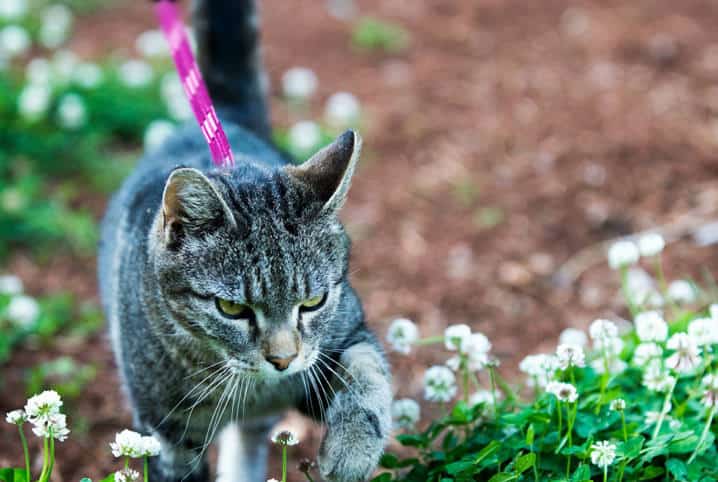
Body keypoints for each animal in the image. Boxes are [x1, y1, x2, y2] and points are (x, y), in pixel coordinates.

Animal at [97, 1, 394, 480]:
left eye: (313, 302)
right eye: (232, 309)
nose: (282, 359)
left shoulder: (345, 338)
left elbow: (368, 374)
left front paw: (352, 449)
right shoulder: (165, 434)